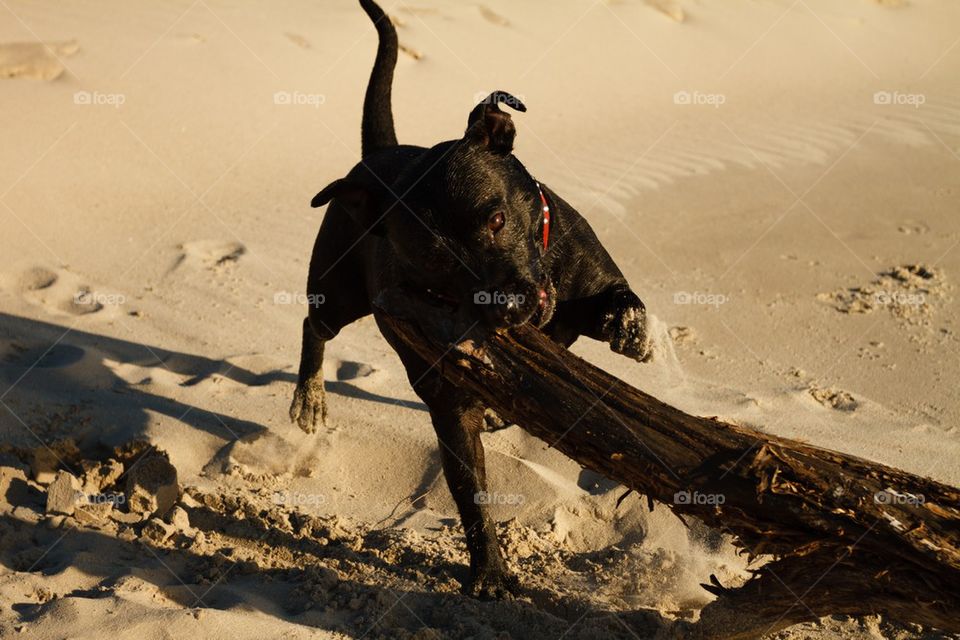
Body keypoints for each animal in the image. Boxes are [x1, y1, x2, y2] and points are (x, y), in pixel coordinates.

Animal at [290, 0, 652, 600]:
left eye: (498, 218)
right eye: (437, 269)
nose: (508, 309)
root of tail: (378, 157)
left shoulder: (587, 276)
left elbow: (618, 301)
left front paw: (633, 332)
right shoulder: (450, 406)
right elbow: (470, 491)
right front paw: (490, 574)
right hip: (338, 291)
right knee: (313, 326)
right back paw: (310, 395)